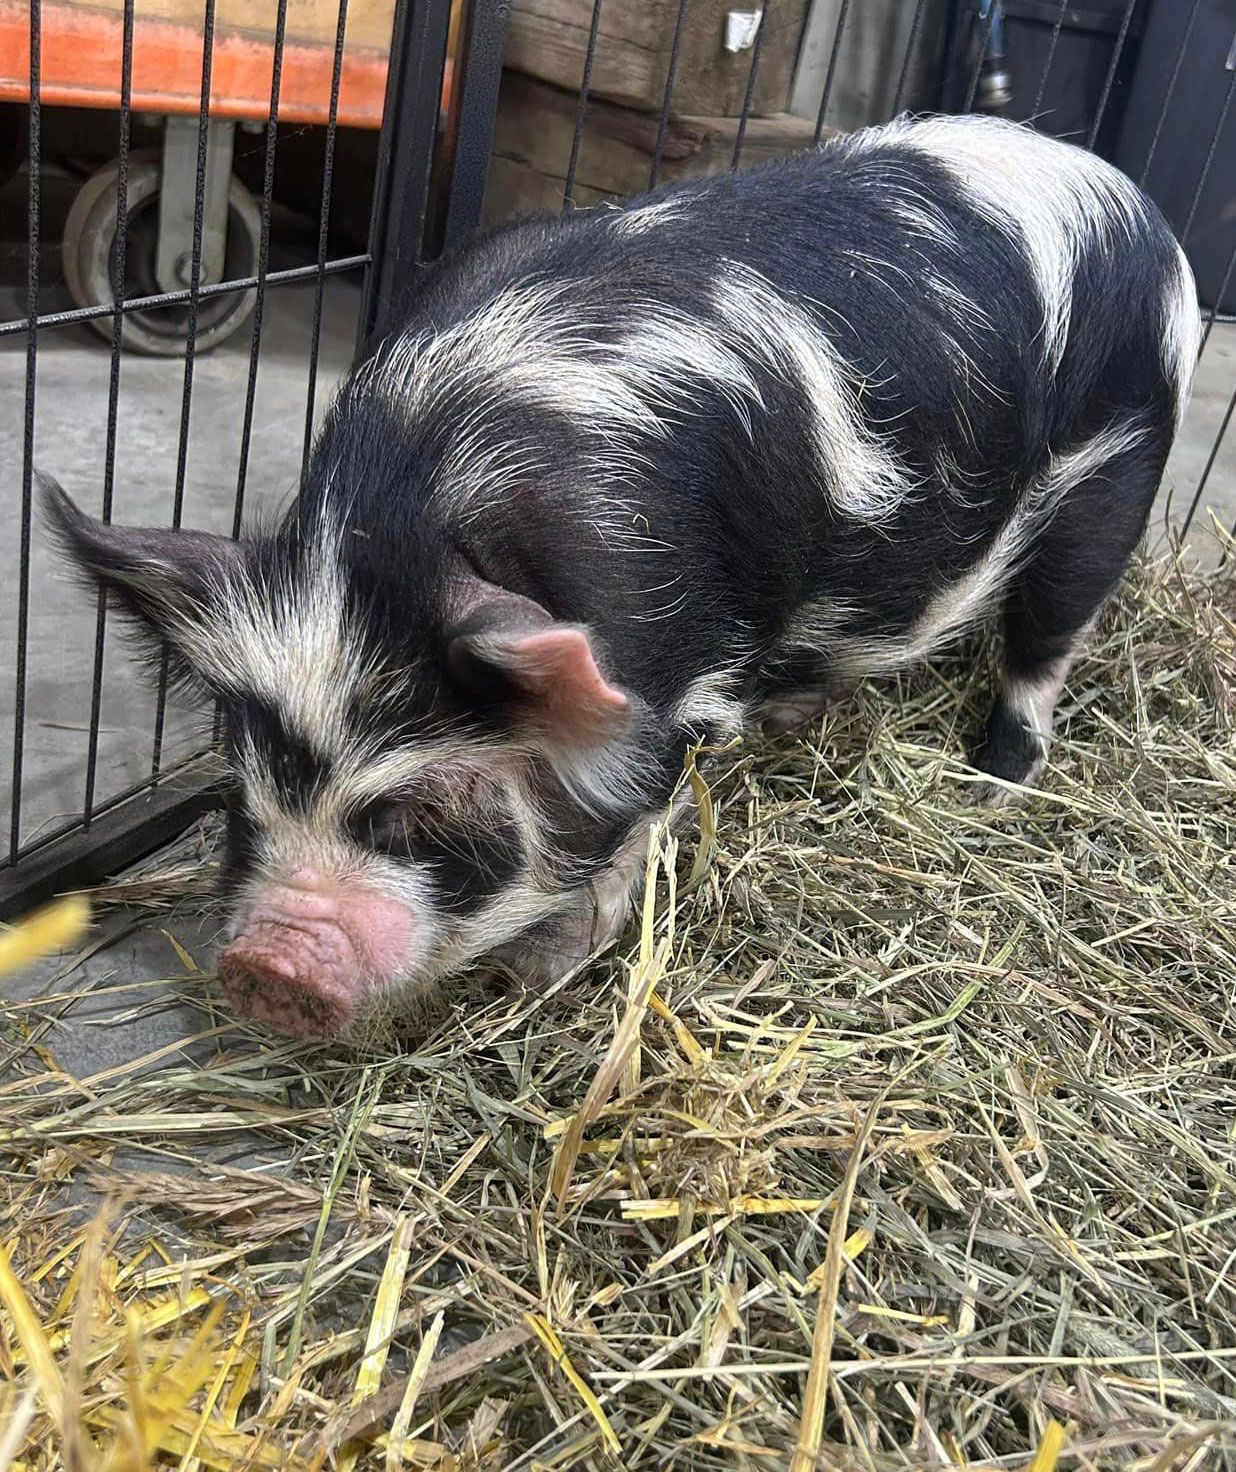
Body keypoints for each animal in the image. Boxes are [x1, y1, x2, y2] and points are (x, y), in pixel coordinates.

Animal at [44, 113, 1199, 1039]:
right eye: (243, 799)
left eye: (412, 816)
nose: (266, 967)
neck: (426, 506)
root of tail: (1141, 208)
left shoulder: (687, 677)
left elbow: (636, 822)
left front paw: (539, 972)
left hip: (1116, 468)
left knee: (1047, 643)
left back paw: (995, 782)